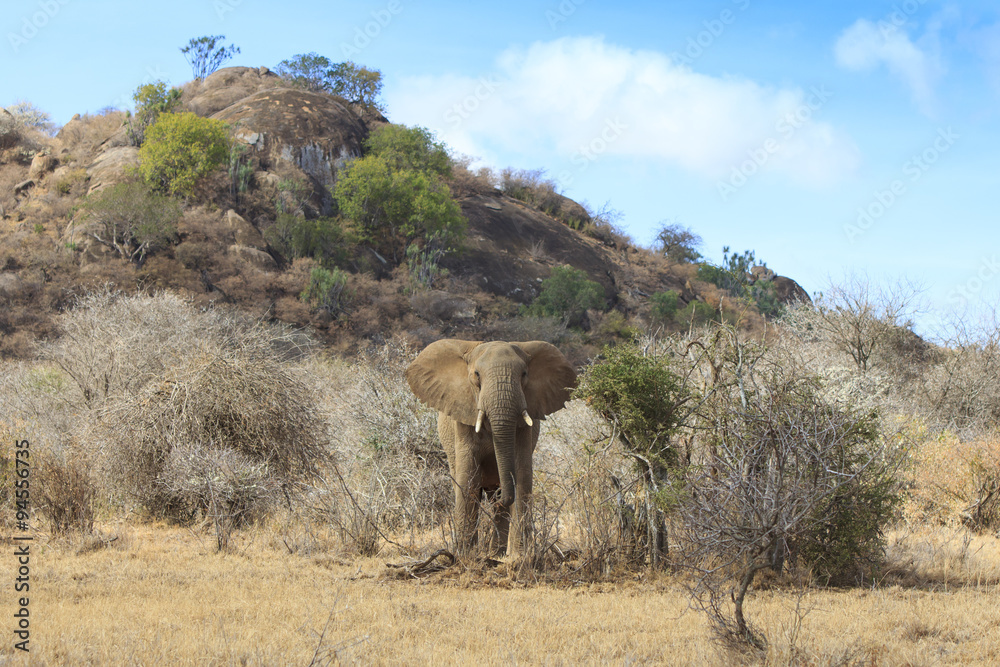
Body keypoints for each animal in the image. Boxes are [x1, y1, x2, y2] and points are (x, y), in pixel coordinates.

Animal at [406, 339, 576, 557]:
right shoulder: (463, 417)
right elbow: (468, 478)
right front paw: (464, 556)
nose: (504, 495)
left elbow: (522, 474)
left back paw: (497, 553)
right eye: (477, 375)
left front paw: (520, 557)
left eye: (524, 374)